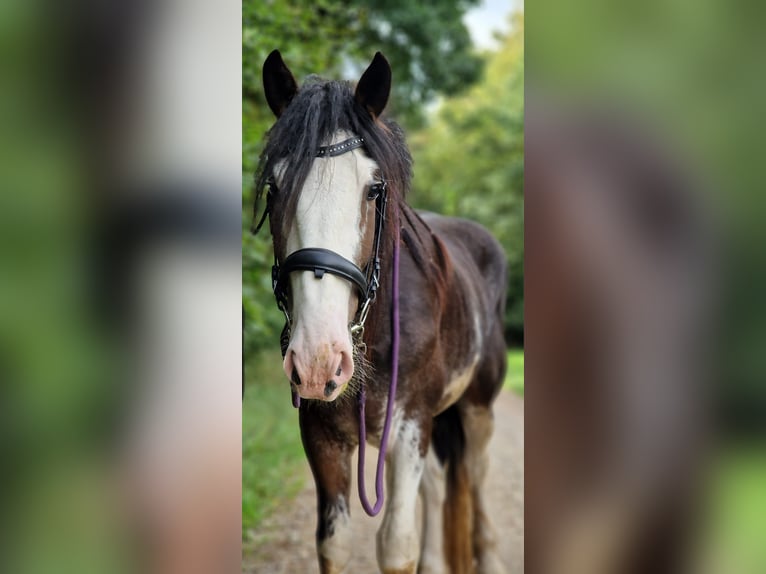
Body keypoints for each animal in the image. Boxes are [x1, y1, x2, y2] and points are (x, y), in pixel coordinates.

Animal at [254, 50, 510, 574]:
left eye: (374, 190)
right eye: (274, 189)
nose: (318, 362)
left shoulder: (409, 426)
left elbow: (395, 545)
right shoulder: (324, 438)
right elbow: (334, 542)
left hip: (476, 408)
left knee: (474, 478)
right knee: (437, 484)